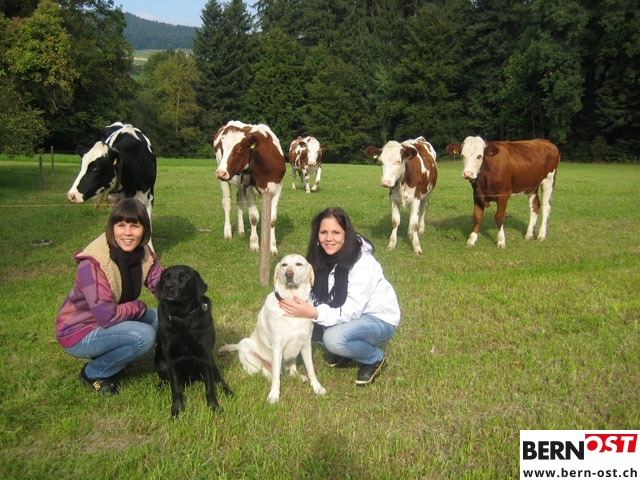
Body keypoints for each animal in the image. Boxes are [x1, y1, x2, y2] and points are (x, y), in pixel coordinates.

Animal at [155, 265, 233, 417]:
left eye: (183, 277)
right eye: (165, 277)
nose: (168, 287)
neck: (183, 317)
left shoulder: (205, 356)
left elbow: (210, 387)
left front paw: (214, 407)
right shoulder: (170, 360)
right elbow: (175, 388)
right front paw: (177, 409)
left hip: (212, 363)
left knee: (218, 380)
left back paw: (228, 391)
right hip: (161, 364)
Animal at [214, 121, 286, 255]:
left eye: (239, 149)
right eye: (223, 149)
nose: (220, 172)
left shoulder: (276, 188)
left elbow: (272, 220)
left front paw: (272, 246)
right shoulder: (249, 190)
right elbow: (254, 217)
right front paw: (254, 244)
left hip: (241, 185)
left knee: (240, 202)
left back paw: (241, 230)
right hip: (225, 181)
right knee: (227, 203)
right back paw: (228, 232)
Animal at [219, 254, 326, 404]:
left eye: (299, 264)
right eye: (284, 265)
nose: (288, 274)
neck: (291, 302)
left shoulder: (306, 344)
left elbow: (311, 369)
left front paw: (317, 387)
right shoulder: (277, 346)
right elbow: (276, 377)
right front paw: (274, 395)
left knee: (290, 371)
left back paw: (299, 377)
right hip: (246, 347)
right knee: (265, 372)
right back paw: (270, 378)